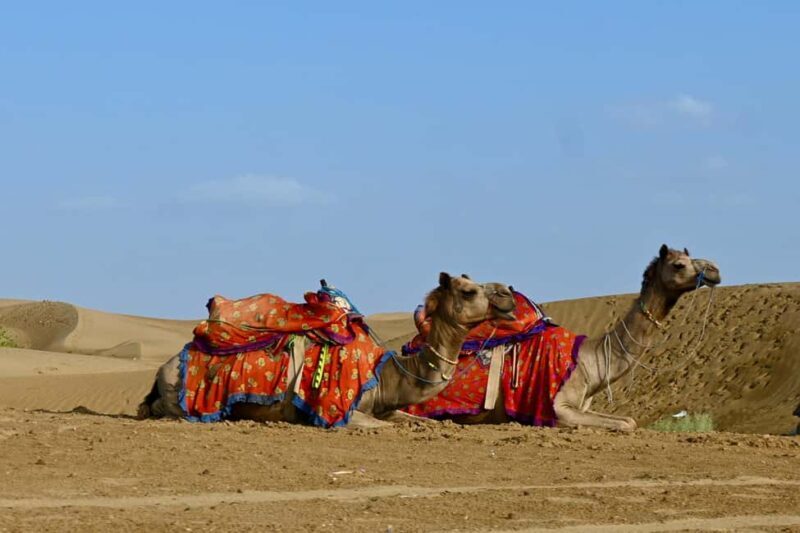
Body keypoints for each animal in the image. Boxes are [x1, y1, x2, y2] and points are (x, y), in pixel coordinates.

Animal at [137, 273, 516, 428]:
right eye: (468, 291)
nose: (508, 294)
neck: (387, 374)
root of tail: (164, 367)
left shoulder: (385, 407)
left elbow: (423, 421)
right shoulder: (343, 411)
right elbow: (381, 426)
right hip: (178, 395)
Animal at [442, 245, 721, 431]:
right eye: (679, 264)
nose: (714, 270)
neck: (590, 359)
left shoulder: (583, 405)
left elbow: (628, 420)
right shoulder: (560, 410)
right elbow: (626, 424)